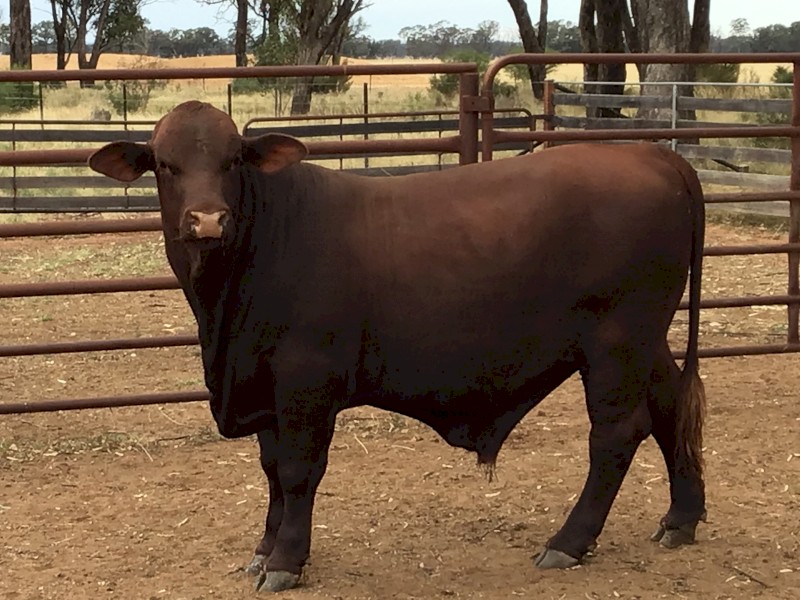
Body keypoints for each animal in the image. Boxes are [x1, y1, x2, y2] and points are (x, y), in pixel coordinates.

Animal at [89, 100, 706, 593]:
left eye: (233, 160)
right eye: (165, 164)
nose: (208, 219)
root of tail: (653, 155)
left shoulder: (306, 379)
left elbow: (296, 470)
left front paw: (286, 560)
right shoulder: (262, 379)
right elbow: (270, 469)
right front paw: (263, 551)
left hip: (616, 342)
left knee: (616, 435)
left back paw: (569, 541)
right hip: (647, 339)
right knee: (672, 409)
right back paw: (681, 517)